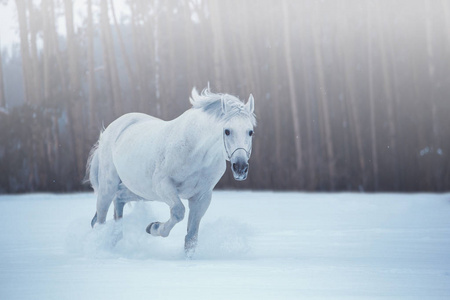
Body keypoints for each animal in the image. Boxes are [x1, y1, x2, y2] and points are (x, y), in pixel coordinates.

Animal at [86, 86, 255, 253]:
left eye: (250, 131)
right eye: (227, 130)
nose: (240, 168)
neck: (196, 151)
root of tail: (110, 130)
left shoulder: (201, 197)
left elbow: (191, 238)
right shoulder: (163, 185)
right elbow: (178, 212)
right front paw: (153, 227)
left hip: (141, 192)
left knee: (118, 200)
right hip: (108, 187)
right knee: (100, 220)